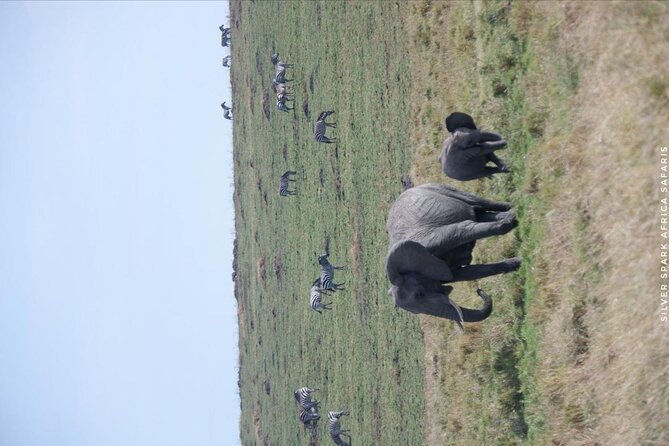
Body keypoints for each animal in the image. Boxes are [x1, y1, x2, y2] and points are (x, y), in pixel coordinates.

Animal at [386, 183, 520, 327]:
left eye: (420, 294)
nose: (479, 291)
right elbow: (468, 273)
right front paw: (518, 263)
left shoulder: (436, 239)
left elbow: (464, 229)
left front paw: (514, 218)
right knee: (482, 215)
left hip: (440, 188)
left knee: (480, 204)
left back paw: (514, 207)